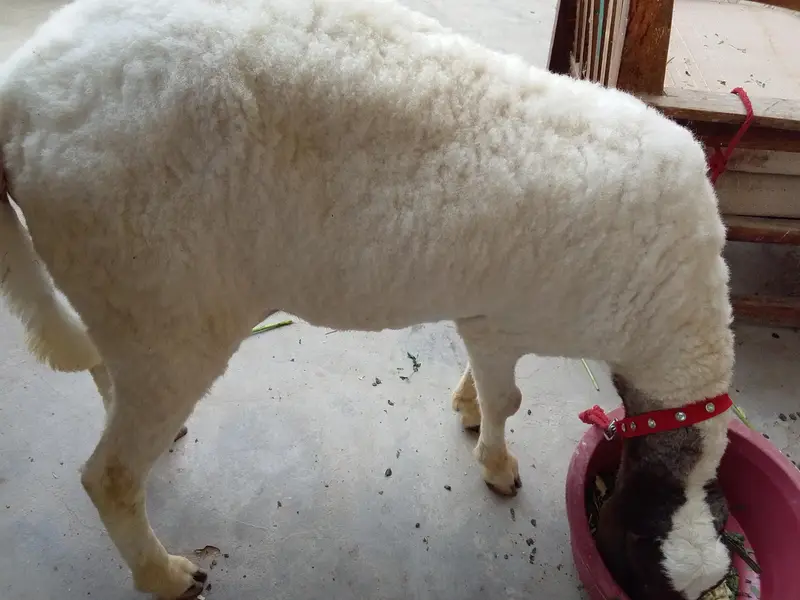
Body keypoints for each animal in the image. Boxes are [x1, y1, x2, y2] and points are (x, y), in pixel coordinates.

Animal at [0, 0, 734, 598]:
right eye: (650, 578)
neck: (670, 325)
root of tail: (20, 91)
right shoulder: (501, 324)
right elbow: (510, 400)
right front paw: (497, 464)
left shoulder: (488, 316)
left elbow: (484, 382)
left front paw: (465, 407)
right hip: (164, 308)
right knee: (109, 476)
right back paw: (166, 575)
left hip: (123, 297)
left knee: (106, 369)